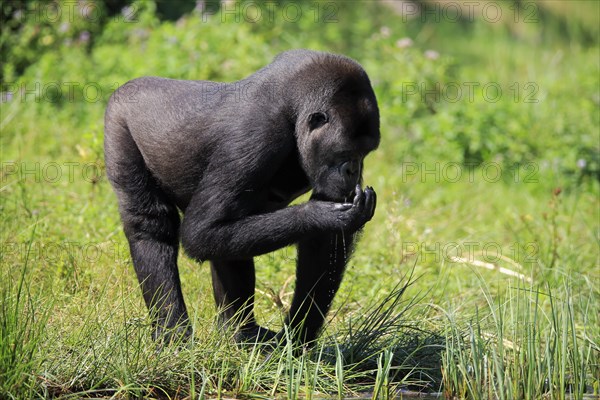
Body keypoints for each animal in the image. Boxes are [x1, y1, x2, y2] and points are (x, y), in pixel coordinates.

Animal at [103, 48, 380, 346]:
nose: (354, 170)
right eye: (345, 151)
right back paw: (173, 329)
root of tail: (131, 85)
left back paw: (237, 331)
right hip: (118, 120)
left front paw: (298, 336)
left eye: (365, 153)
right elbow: (201, 232)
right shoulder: (257, 136)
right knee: (151, 226)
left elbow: (325, 242)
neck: (294, 109)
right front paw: (319, 214)